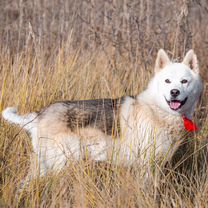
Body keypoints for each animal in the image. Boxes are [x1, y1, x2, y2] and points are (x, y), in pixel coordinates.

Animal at [2, 49, 203, 182]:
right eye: (167, 81)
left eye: (184, 81)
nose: (174, 92)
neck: (156, 110)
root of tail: (39, 115)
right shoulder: (146, 167)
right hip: (57, 164)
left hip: (45, 166)